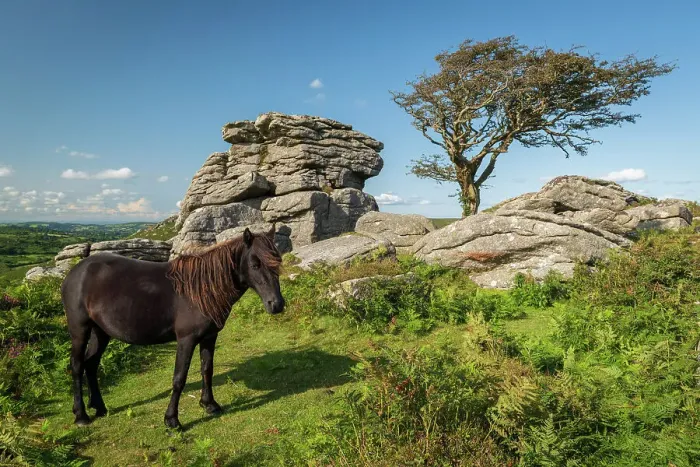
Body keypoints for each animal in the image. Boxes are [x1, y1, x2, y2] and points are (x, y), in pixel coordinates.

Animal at [61, 227, 285, 429]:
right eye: (255, 264)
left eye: (278, 261)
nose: (277, 304)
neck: (200, 290)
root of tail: (76, 272)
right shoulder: (186, 340)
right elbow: (179, 378)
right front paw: (172, 420)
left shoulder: (209, 337)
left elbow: (207, 369)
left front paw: (209, 404)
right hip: (80, 330)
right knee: (77, 366)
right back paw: (81, 416)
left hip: (101, 332)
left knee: (91, 364)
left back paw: (99, 407)